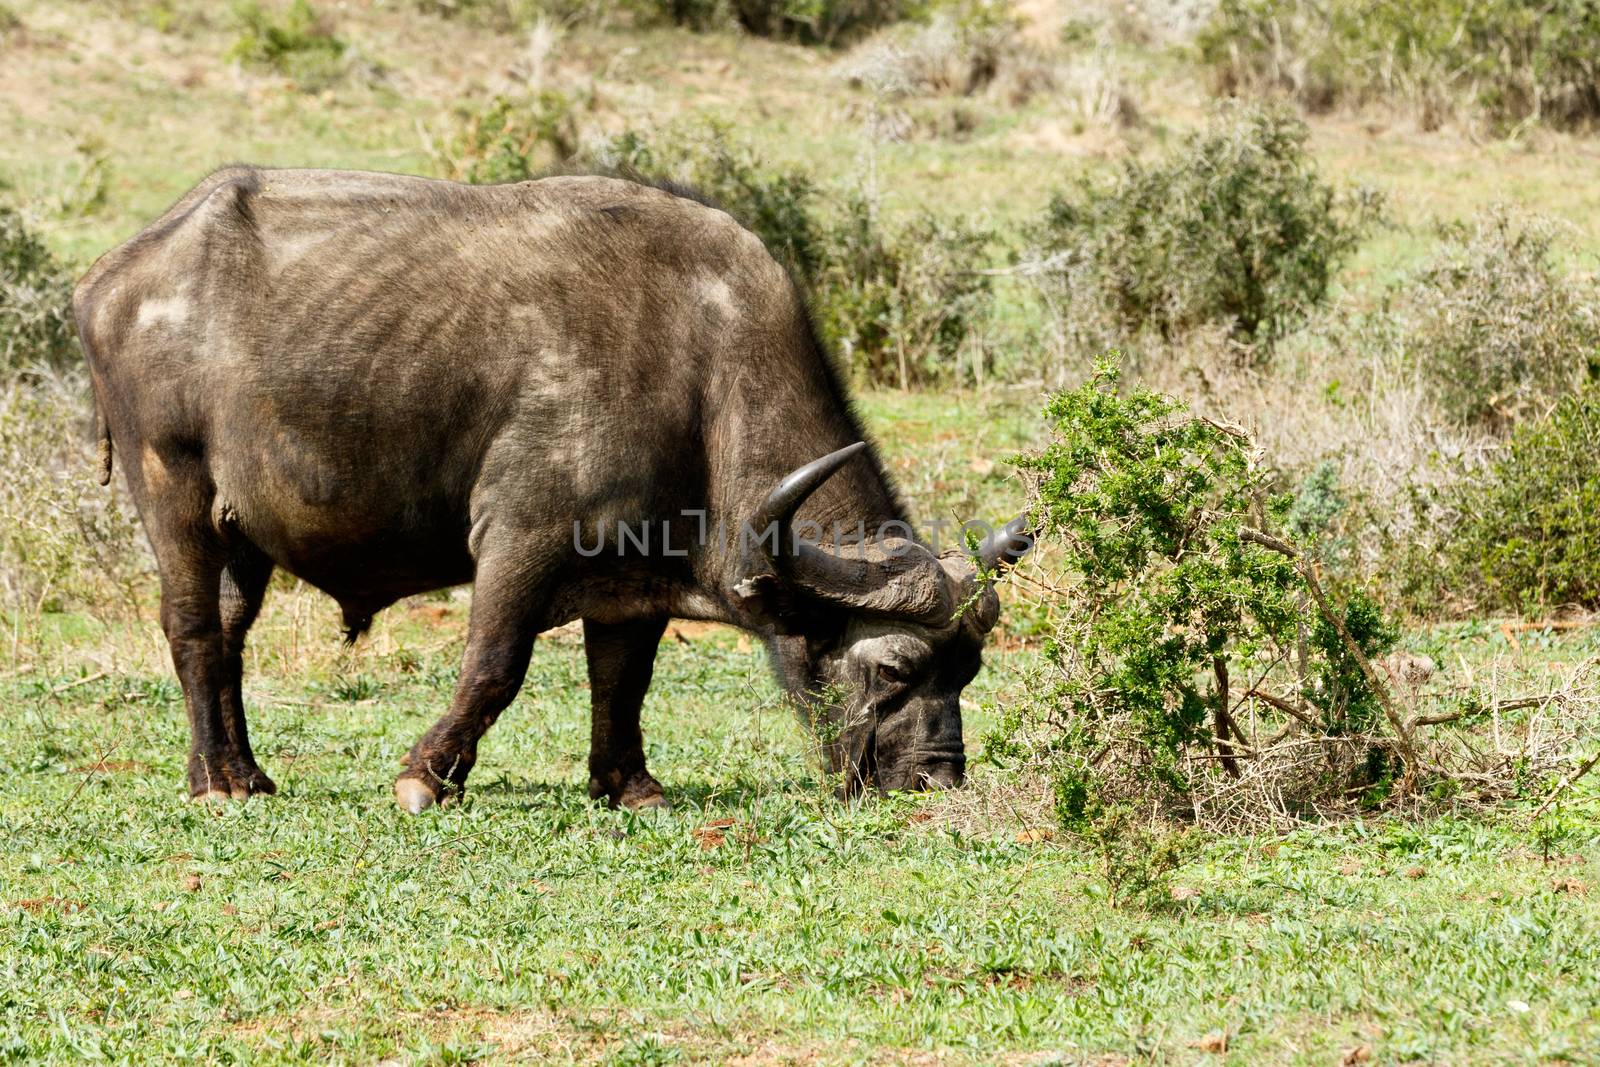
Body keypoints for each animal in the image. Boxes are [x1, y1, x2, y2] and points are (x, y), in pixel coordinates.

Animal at [75, 167, 1030, 812]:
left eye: (969, 667)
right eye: (896, 667)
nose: (938, 779)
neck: (703, 376)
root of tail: (110, 276)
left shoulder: (636, 582)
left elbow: (624, 681)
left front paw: (627, 781)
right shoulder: (519, 538)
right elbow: (496, 665)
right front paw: (426, 777)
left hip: (244, 532)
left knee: (231, 633)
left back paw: (244, 771)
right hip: (173, 493)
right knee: (193, 630)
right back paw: (214, 781)